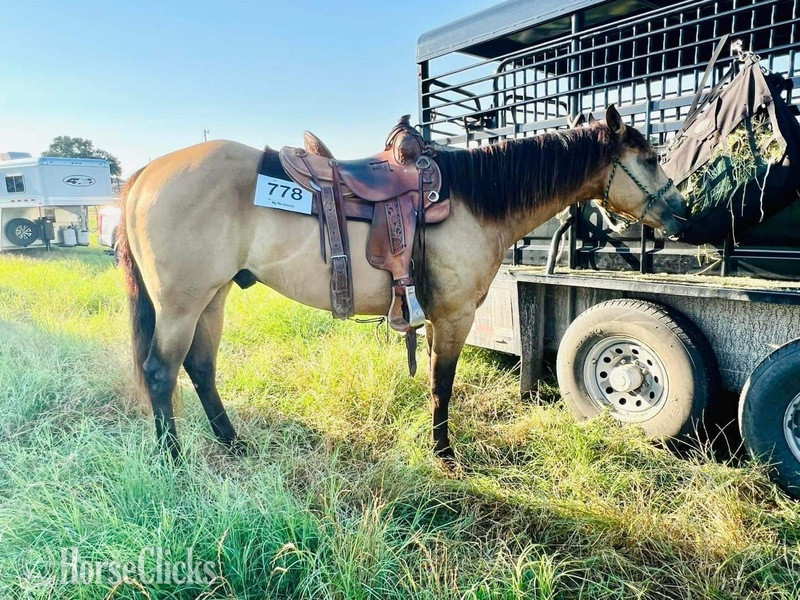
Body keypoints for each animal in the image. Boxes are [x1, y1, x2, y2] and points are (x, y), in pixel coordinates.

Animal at [118, 105, 688, 461]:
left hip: (211, 299)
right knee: (161, 371)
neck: (474, 199)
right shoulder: (456, 315)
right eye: (651, 158)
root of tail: (144, 175)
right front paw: (445, 456)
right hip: (180, 305)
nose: (683, 212)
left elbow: (435, 381)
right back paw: (172, 459)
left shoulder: (433, 315)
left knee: (200, 367)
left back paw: (232, 442)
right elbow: (442, 385)